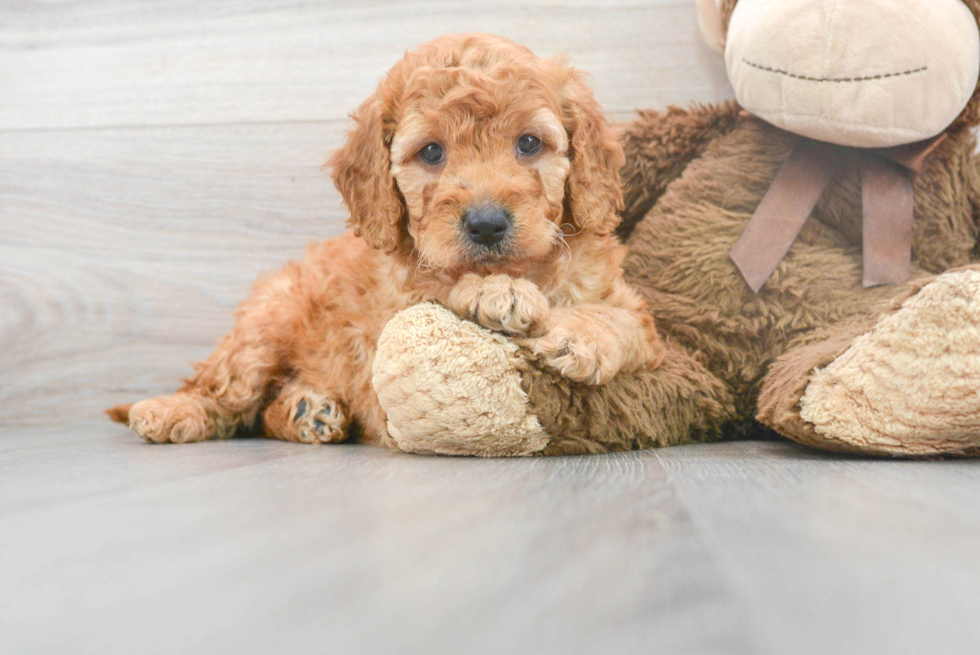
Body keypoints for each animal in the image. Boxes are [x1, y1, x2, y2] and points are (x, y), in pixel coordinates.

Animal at [113, 33, 668, 448]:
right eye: (432, 152)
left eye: (530, 143)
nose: (487, 224)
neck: (524, 266)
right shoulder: (389, 319)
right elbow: (437, 290)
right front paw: (494, 292)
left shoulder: (637, 320)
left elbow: (629, 323)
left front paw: (581, 334)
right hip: (264, 324)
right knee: (226, 391)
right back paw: (172, 411)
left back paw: (306, 410)